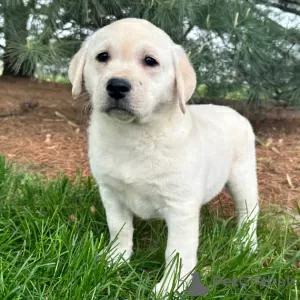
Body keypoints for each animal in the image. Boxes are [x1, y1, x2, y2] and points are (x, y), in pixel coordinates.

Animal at [67, 18, 258, 296]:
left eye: (150, 61)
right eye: (102, 57)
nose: (116, 86)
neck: (134, 135)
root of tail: (233, 111)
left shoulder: (180, 206)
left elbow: (177, 251)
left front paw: (172, 285)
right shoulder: (111, 192)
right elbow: (119, 228)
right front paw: (116, 259)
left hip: (243, 177)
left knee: (249, 213)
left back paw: (246, 245)